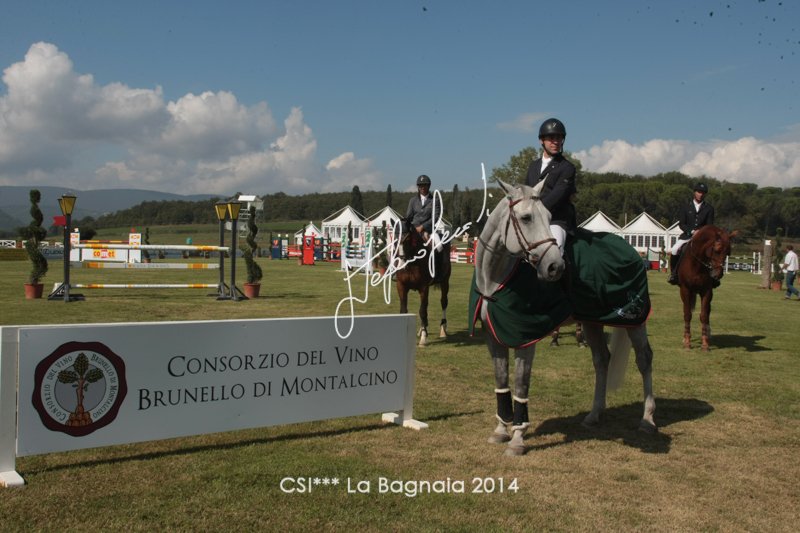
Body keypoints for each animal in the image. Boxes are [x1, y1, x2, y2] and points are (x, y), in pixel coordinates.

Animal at [470, 179, 656, 456]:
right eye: (525, 218)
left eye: (549, 217)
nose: (555, 267)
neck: (497, 280)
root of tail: (631, 249)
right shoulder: (493, 337)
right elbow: (501, 382)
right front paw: (501, 430)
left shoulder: (526, 340)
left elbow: (520, 385)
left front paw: (517, 439)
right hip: (592, 321)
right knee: (602, 359)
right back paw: (594, 415)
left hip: (634, 320)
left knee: (644, 359)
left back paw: (647, 420)